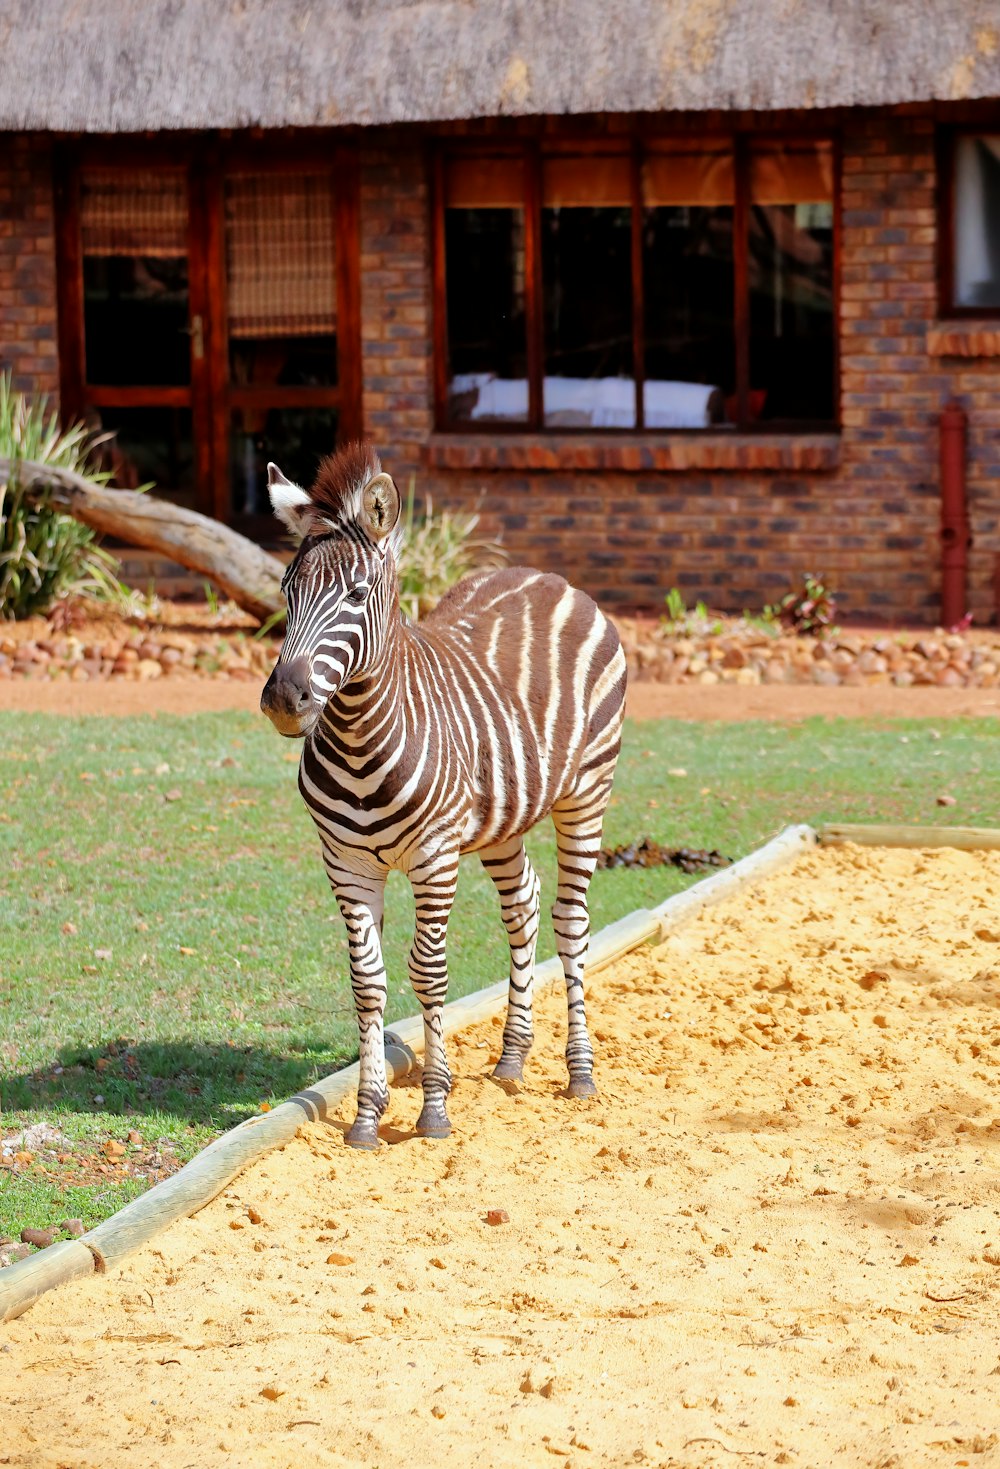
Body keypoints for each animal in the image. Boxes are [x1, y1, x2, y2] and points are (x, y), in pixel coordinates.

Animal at [261, 440, 628, 1151]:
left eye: (355, 595)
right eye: (286, 591)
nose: (284, 699)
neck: (360, 738)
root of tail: (547, 576)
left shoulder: (434, 859)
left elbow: (427, 974)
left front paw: (433, 1110)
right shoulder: (345, 864)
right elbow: (367, 983)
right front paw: (367, 1115)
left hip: (586, 791)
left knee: (571, 922)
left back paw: (580, 1073)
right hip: (504, 815)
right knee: (524, 907)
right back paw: (512, 1058)